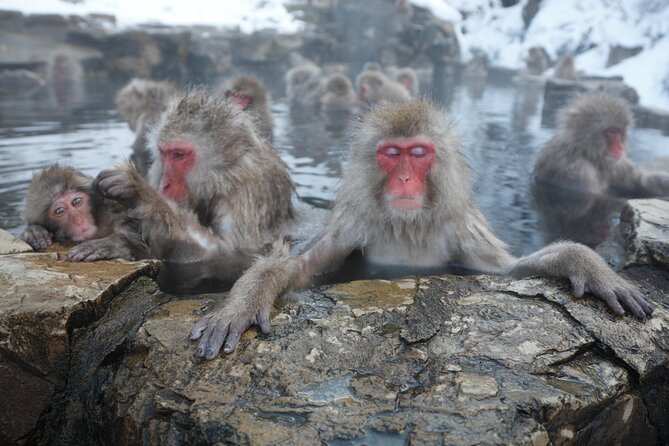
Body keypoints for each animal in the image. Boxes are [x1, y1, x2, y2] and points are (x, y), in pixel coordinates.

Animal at [96, 90, 295, 281]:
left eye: (178, 155)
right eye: (164, 153)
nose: (164, 184)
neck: (220, 176)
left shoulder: (245, 193)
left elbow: (223, 252)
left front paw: (139, 193)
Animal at [190, 99, 653, 360]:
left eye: (418, 153)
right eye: (392, 153)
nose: (405, 180)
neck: (408, 225)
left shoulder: (462, 231)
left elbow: (507, 271)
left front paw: (586, 264)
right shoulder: (354, 226)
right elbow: (298, 269)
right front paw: (243, 302)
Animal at [533, 92, 669, 196]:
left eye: (619, 131)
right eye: (611, 131)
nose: (620, 147)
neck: (587, 154)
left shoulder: (616, 164)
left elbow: (642, 181)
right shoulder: (577, 171)